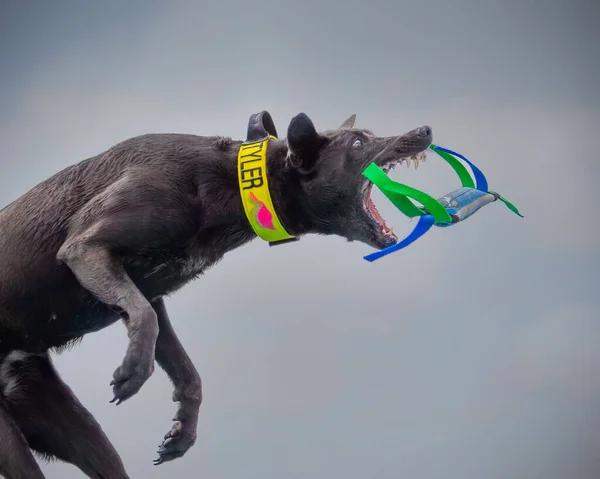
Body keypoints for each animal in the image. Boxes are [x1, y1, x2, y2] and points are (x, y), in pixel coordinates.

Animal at [0, 110, 432, 478]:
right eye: (359, 143)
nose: (425, 130)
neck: (234, 183)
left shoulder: (145, 291)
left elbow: (185, 368)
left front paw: (183, 427)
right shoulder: (86, 248)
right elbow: (146, 321)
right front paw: (134, 370)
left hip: (68, 424)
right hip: (10, 439)